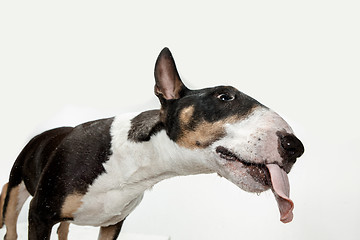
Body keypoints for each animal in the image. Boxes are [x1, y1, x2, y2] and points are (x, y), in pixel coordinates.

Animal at [0, 47, 304, 239]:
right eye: (224, 96)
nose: (295, 147)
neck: (132, 161)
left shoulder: (113, 225)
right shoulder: (39, 215)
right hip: (16, 191)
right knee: (11, 227)